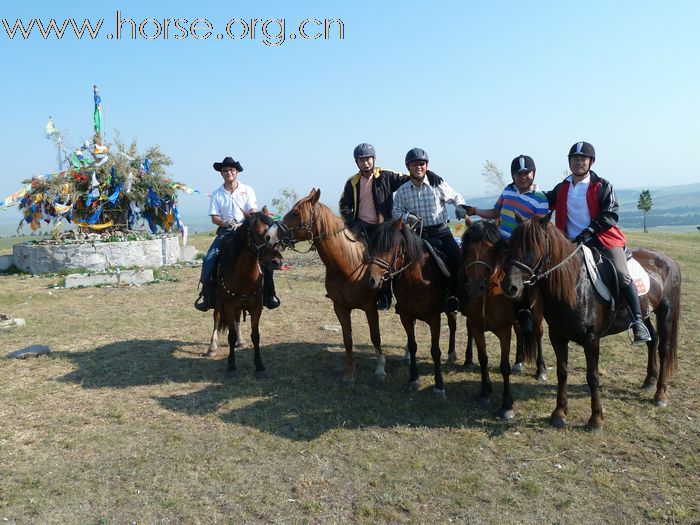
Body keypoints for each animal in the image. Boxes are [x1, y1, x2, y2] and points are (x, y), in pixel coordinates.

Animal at [208, 209, 282, 376]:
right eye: (260, 233)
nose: (277, 262)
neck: (243, 275)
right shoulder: (228, 306)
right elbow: (230, 335)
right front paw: (231, 366)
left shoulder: (256, 307)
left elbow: (255, 336)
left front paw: (259, 365)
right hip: (219, 302)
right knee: (216, 318)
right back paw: (212, 346)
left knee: (236, 320)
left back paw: (240, 341)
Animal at [364, 215, 452, 396]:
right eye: (372, 245)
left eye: (390, 247)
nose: (371, 279)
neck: (417, 279)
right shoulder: (406, 316)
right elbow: (412, 346)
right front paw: (413, 379)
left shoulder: (434, 317)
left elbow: (435, 351)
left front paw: (439, 386)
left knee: (453, 326)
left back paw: (454, 355)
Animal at [460, 219, 548, 420]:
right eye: (467, 249)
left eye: (492, 250)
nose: (475, 287)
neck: (488, 294)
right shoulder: (476, 328)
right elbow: (483, 359)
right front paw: (485, 392)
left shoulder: (503, 332)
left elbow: (504, 367)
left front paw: (506, 405)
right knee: (520, 332)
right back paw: (519, 361)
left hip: (537, 316)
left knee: (538, 335)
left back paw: (540, 370)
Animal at [504, 213, 680, 430]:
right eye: (511, 244)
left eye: (532, 247)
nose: (509, 286)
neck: (575, 285)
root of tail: (669, 260)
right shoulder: (557, 337)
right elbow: (562, 372)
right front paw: (559, 413)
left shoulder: (591, 340)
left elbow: (592, 376)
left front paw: (596, 419)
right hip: (644, 313)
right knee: (651, 340)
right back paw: (649, 381)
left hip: (666, 313)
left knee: (664, 349)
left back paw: (660, 394)